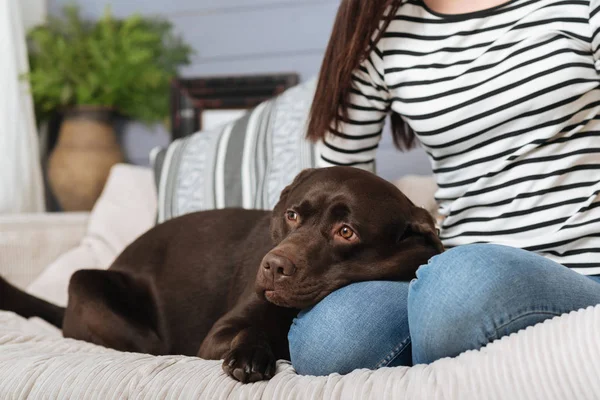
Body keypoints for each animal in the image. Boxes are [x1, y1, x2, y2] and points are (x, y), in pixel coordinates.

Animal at [0, 166, 440, 384]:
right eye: (292, 215)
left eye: (346, 232)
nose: (274, 266)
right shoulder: (217, 334)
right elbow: (250, 330)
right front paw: (249, 355)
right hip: (92, 287)